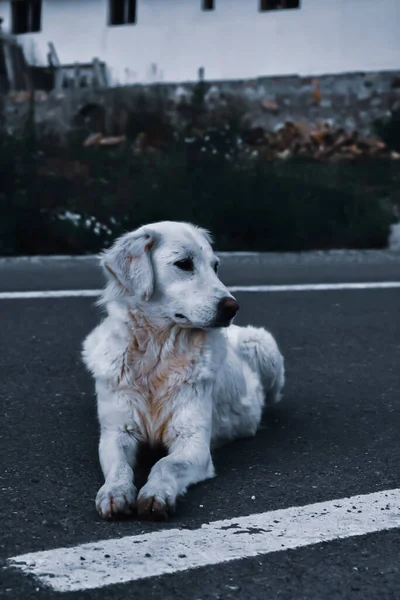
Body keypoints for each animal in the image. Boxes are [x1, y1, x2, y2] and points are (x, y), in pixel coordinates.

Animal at [82, 220, 284, 520]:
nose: (232, 307)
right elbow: (120, 466)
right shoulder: (116, 432)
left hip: (263, 344)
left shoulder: (193, 441)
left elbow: (165, 464)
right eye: (184, 264)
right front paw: (114, 492)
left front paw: (155, 494)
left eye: (215, 266)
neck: (157, 354)